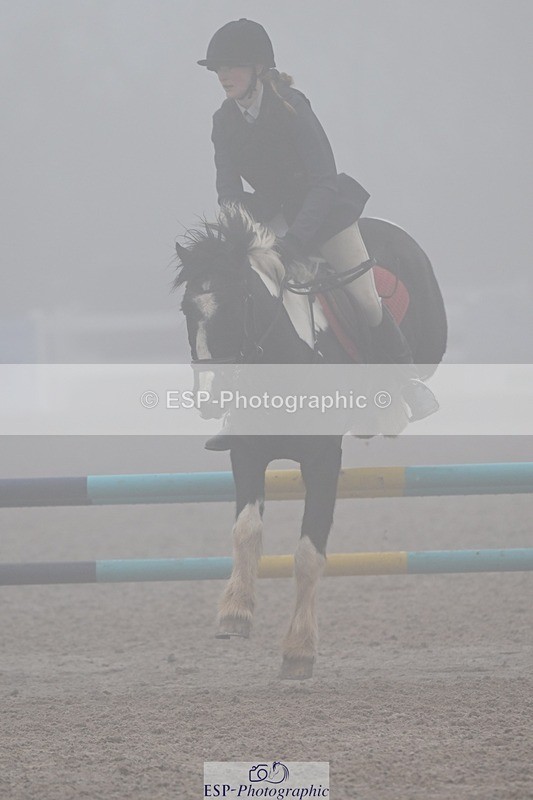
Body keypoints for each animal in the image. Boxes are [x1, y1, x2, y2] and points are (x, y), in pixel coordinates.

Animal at [175, 204, 446, 680]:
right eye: (188, 309)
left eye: (236, 305)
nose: (209, 398)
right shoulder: (247, 453)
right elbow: (246, 530)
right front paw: (234, 613)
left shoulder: (322, 460)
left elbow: (307, 553)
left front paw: (299, 651)